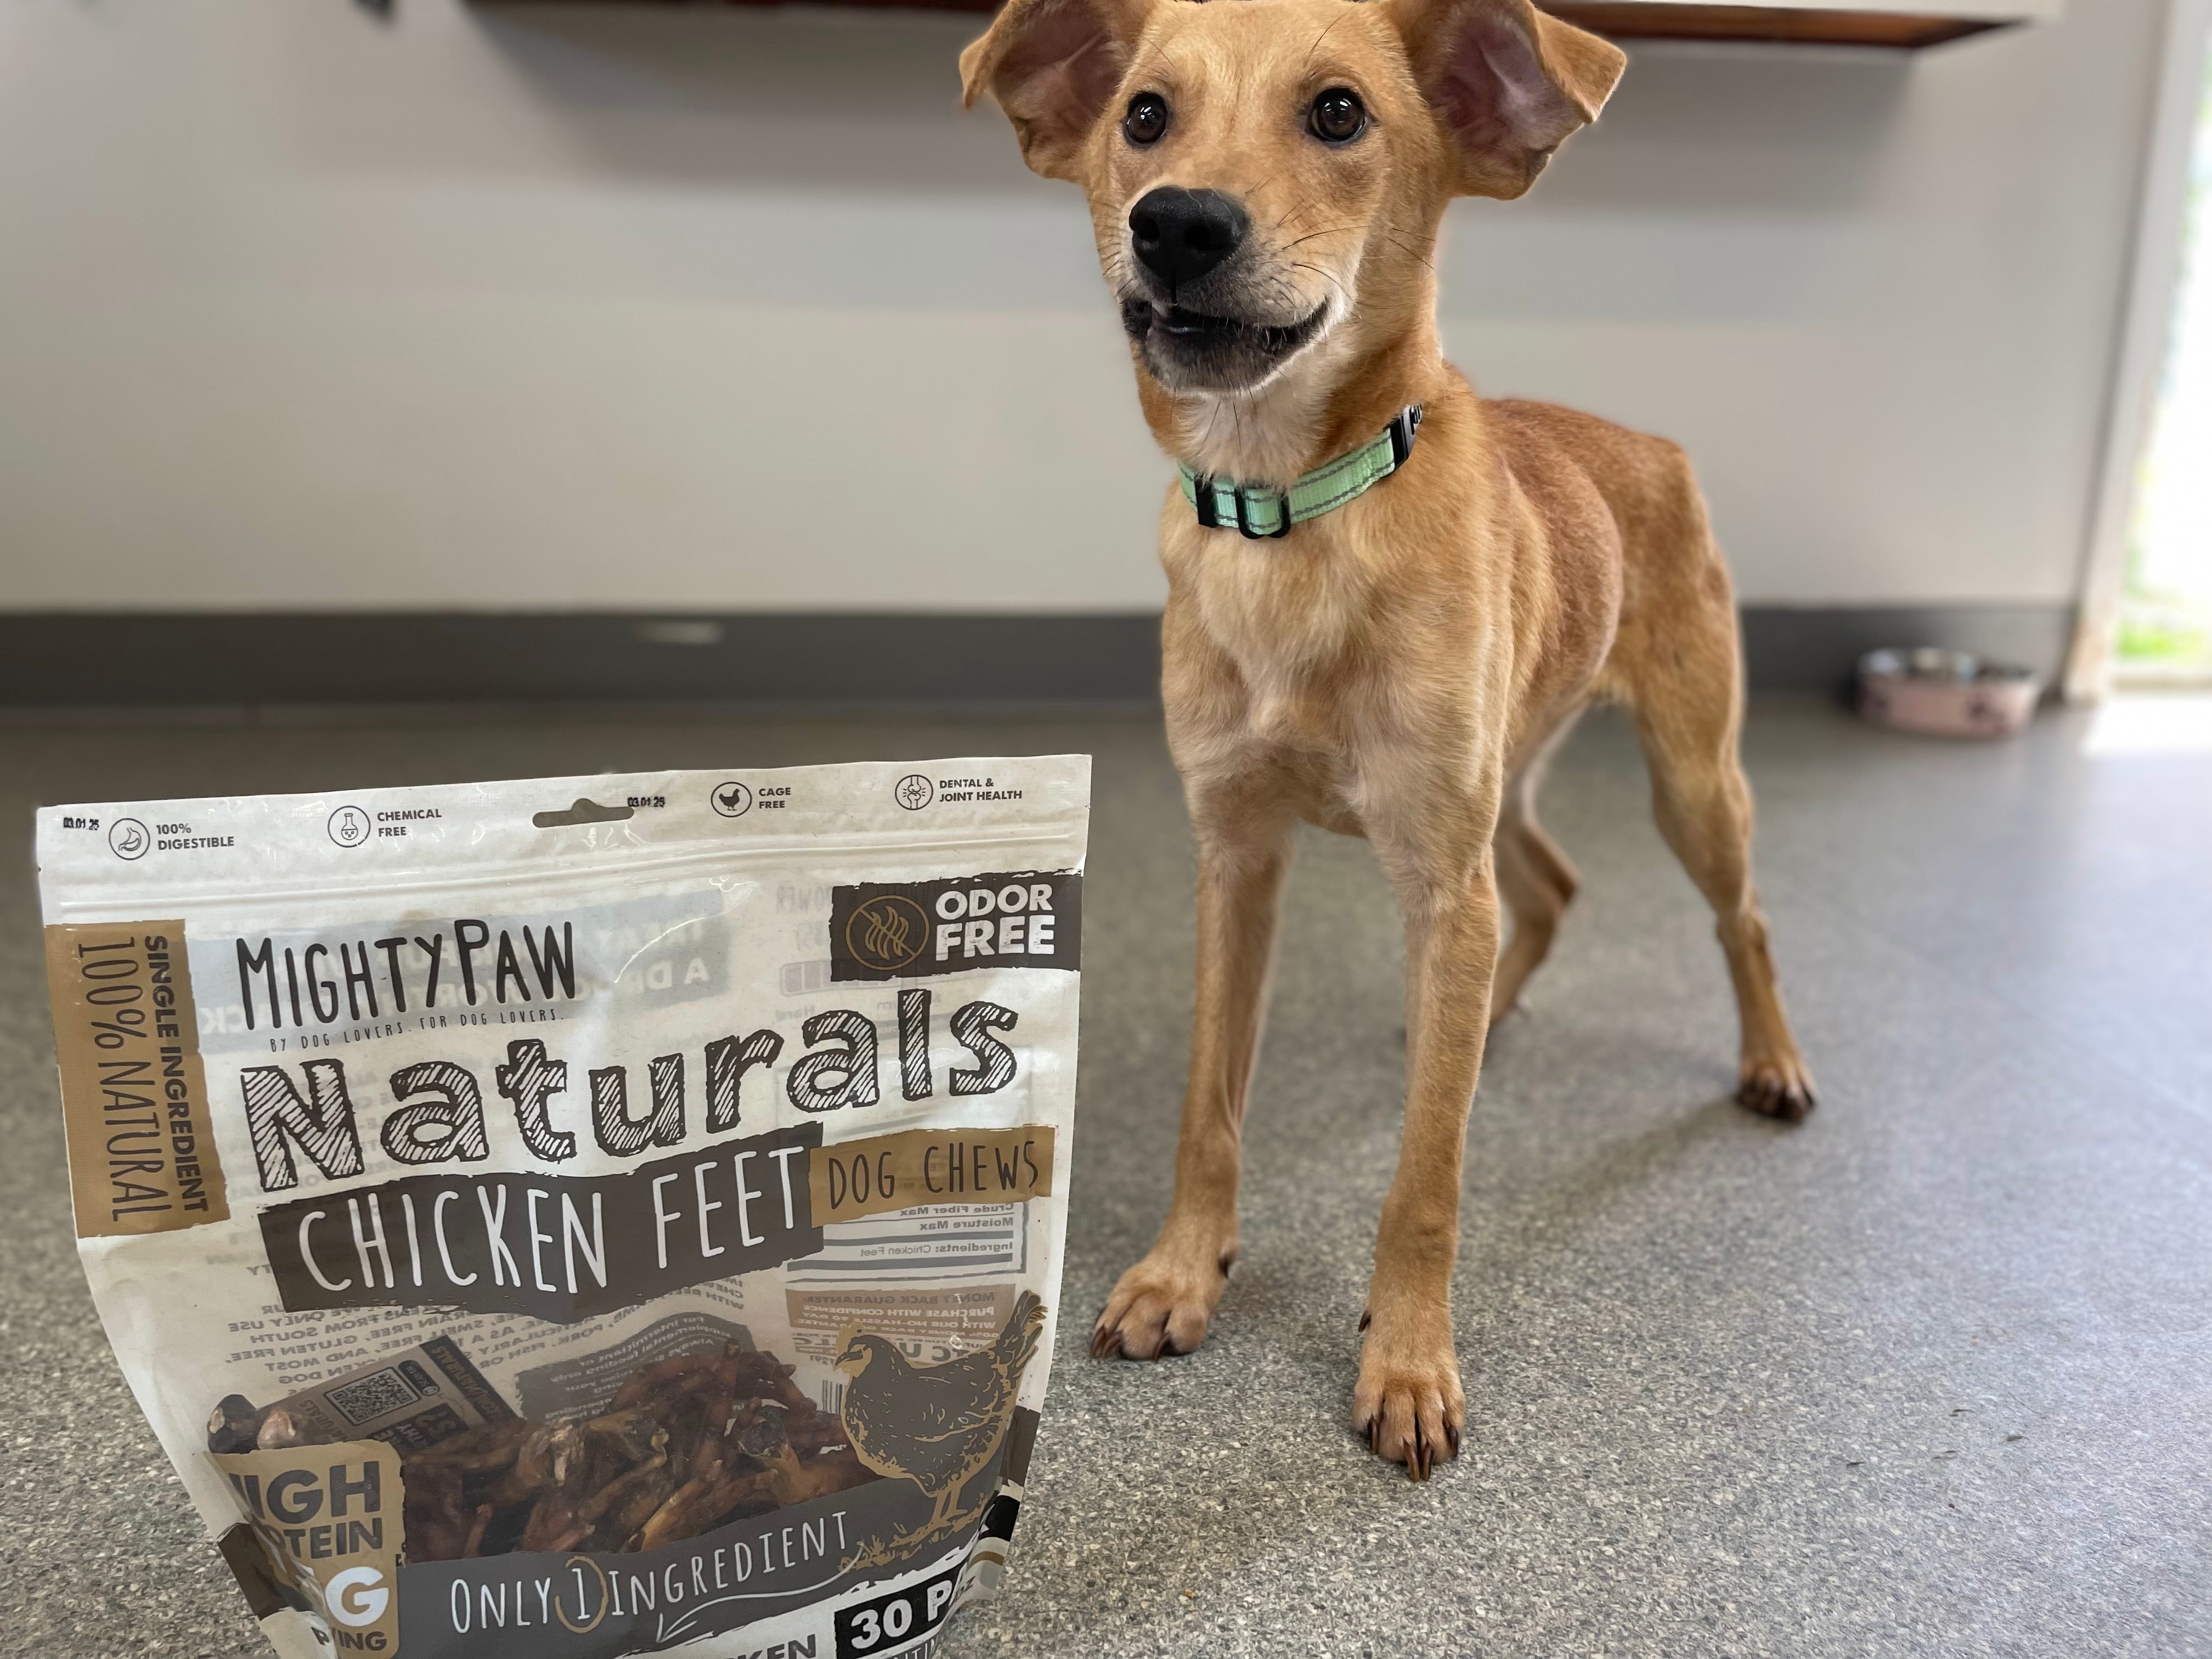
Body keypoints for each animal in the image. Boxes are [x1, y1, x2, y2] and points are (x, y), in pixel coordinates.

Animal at [964, 0, 1814, 1477]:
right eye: (1144, 117)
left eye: (1341, 114)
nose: (1178, 225)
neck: (1292, 518)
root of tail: (1644, 439)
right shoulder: (1238, 860)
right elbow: (1208, 1108)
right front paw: (1182, 1274)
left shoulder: (1435, 873)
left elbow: (1428, 1174)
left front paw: (1409, 1361)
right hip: (1504, 788)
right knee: (1548, 891)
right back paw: (1478, 1015)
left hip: (1690, 782)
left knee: (1741, 919)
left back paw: (1768, 1060)